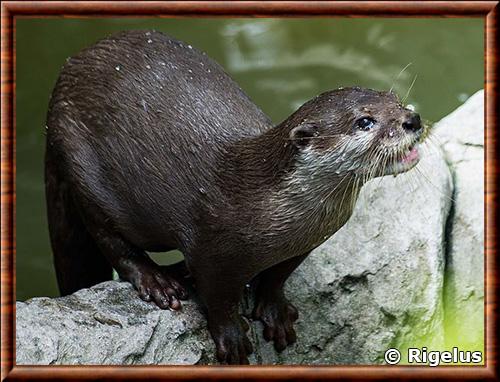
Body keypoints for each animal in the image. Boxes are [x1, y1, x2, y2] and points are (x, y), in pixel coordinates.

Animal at [45, 29, 424, 364]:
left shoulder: (304, 243)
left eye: (395, 101)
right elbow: (217, 297)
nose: (413, 119)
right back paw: (158, 282)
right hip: (82, 166)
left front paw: (275, 311)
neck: (268, 207)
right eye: (365, 121)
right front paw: (231, 338)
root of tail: (62, 81)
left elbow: (278, 276)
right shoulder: (211, 247)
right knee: (110, 240)